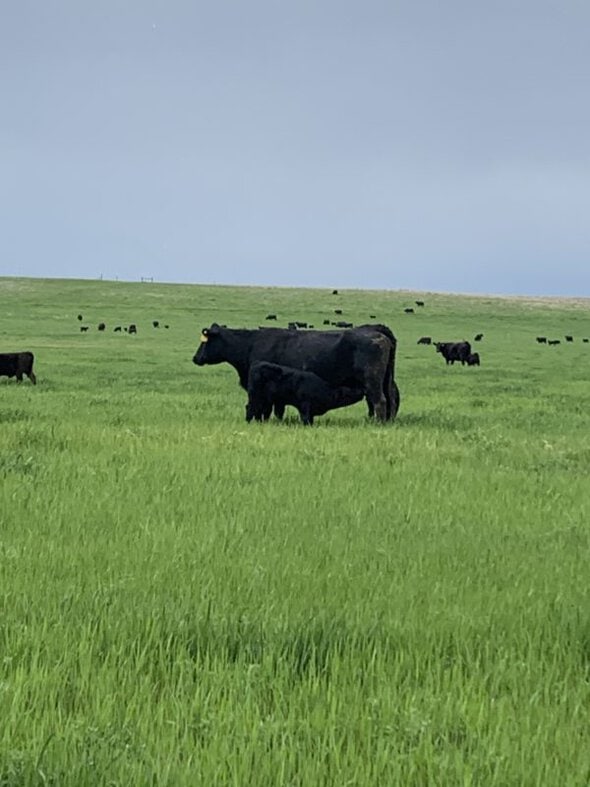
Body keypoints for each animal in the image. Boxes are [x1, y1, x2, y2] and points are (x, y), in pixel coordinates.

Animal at [194, 320, 402, 422]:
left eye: (205, 341)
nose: (195, 358)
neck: (251, 344)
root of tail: (379, 333)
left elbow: (267, 410)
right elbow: (277, 410)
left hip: (372, 382)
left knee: (380, 402)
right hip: (386, 380)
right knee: (391, 399)